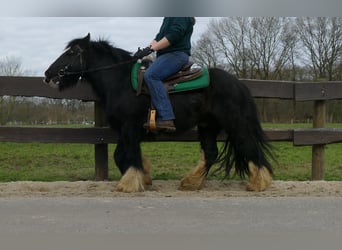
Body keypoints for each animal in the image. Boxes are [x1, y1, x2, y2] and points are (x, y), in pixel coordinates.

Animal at [44, 33, 274, 191]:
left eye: (71, 52)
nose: (48, 74)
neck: (121, 82)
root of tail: (239, 84)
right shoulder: (125, 130)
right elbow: (120, 155)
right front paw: (143, 177)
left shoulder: (130, 127)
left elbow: (129, 154)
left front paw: (130, 183)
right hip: (207, 125)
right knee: (210, 154)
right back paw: (191, 182)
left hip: (236, 124)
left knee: (249, 147)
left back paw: (259, 182)